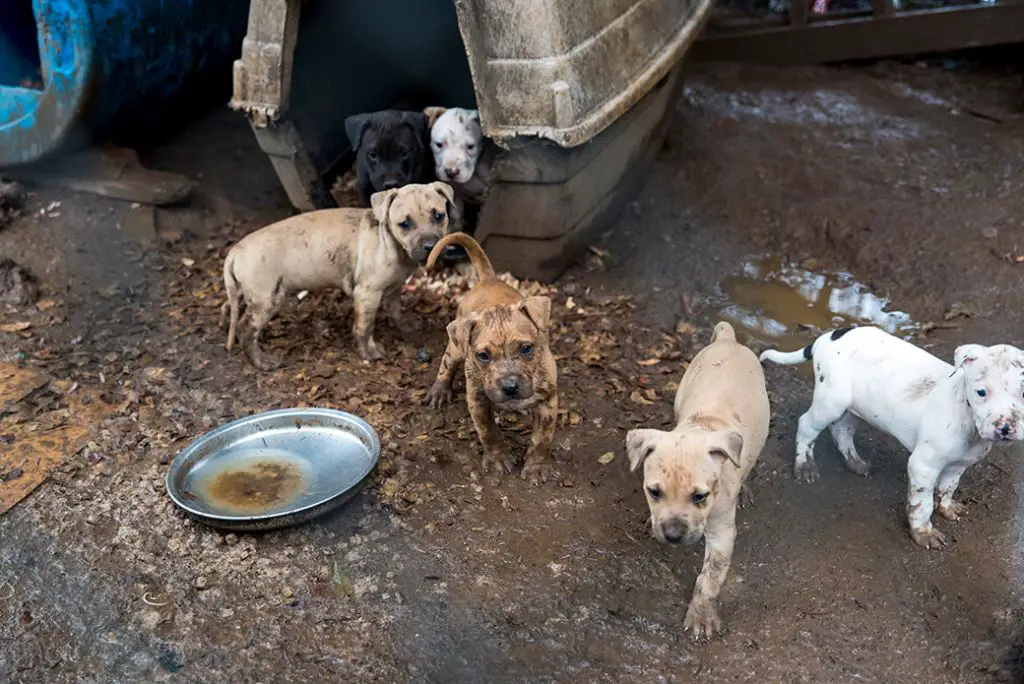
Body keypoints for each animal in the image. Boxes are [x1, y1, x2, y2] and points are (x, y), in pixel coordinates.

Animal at [224, 181, 452, 368]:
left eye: (439, 216)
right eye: (405, 224)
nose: (431, 246)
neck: (389, 242)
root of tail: (236, 250)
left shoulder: (394, 288)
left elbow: (396, 308)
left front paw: (404, 324)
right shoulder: (367, 294)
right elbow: (365, 327)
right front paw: (368, 352)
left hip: (249, 292)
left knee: (234, 309)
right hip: (268, 298)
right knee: (246, 329)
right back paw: (262, 361)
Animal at [622, 323, 770, 638]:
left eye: (700, 497)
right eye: (653, 492)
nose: (673, 536)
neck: (702, 428)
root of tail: (729, 339)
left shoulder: (722, 533)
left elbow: (710, 577)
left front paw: (702, 614)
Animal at [761, 325, 1024, 548]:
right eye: (981, 392)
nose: (1005, 427)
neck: (967, 416)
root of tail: (830, 335)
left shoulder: (958, 466)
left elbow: (948, 488)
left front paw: (947, 507)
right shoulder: (923, 466)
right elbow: (923, 503)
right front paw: (923, 532)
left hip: (855, 406)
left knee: (841, 430)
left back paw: (855, 462)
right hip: (831, 401)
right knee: (807, 425)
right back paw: (804, 465)